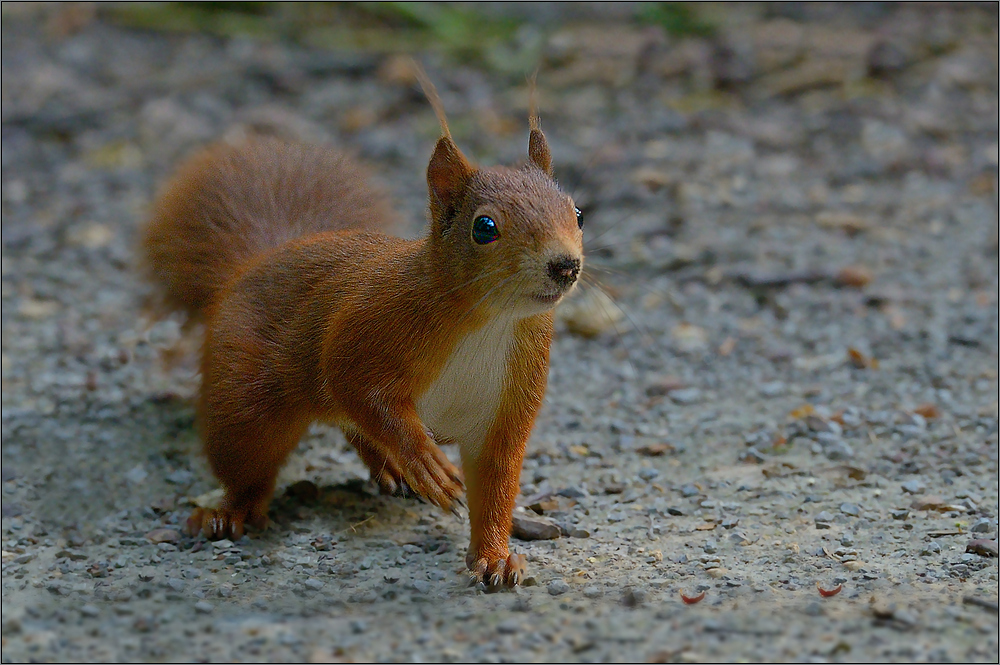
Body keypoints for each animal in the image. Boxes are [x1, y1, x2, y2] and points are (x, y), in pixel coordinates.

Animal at [139, 74, 580, 588]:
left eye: (578, 213)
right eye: (485, 227)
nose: (565, 265)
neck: (492, 322)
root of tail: (250, 266)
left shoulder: (509, 400)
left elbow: (496, 483)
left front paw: (495, 556)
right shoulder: (372, 325)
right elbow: (355, 385)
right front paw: (423, 460)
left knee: (351, 428)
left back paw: (386, 468)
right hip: (243, 399)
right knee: (251, 461)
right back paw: (231, 511)